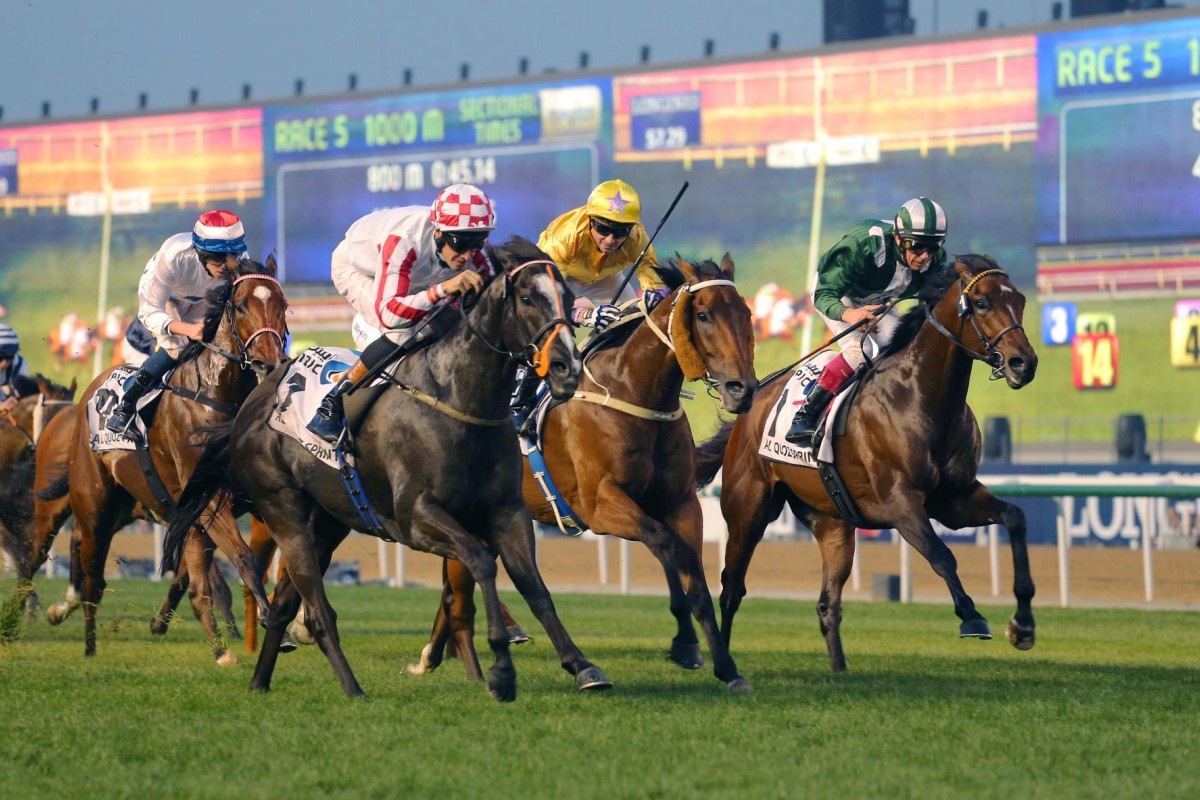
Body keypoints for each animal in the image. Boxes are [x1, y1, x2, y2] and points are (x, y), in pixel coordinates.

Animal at [57, 257, 289, 662]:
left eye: (283, 305)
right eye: (240, 306)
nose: (267, 362)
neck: (217, 395)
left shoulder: (240, 500)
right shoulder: (209, 500)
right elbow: (245, 558)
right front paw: (273, 622)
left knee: (190, 585)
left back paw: (219, 649)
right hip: (94, 507)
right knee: (92, 577)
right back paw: (88, 645)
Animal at [166, 239, 609, 700]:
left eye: (570, 299)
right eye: (526, 298)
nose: (567, 369)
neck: (457, 398)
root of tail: (249, 406)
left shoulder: (508, 512)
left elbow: (533, 586)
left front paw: (582, 666)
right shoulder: (416, 518)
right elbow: (481, 563)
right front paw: (502, 668)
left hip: (327, 521)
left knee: (289, 601)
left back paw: (260, 682)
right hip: (283, 510)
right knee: (317, 609)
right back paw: (352, 689)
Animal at [408, 256, 753, 695]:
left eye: (746, 314)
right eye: (704, 315)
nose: (743, 388)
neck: (632, 391)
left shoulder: (682, 503)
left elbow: (695, 578)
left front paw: (726, 666)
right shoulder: (599, 505)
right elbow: (663, 543)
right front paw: (686, 642)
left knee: (455, 588)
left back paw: (435, 656)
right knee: (457, 591)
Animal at [696, 255, 1041, 671]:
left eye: (1020, 300)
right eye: (982, 303)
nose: (1024, 363)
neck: (919, 397)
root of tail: (752, 401)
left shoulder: (954, 500)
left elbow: (1015, 518)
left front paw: (1023, 624)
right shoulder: (899, 502)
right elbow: (942, 556)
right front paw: (972, 616)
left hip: (832, 522)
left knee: (827, 604)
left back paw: (840, 670)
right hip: (748, 510)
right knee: (731, 589)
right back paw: (725, 663)